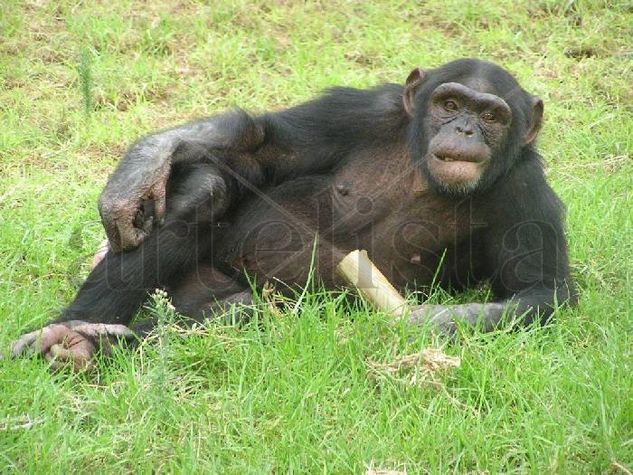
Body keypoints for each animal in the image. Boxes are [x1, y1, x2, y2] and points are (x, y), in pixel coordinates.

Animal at [9, 59, 576, 370]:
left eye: (492, 115)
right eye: (450, 104)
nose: (464, 130)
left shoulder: (527, 192)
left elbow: (541, 291)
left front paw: (426, 322)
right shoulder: (363, 109)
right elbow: (266, 143)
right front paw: (147, 160)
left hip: (206, 301)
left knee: (240, 313)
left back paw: (90, 344)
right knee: (206, 189)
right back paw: (68, 332)